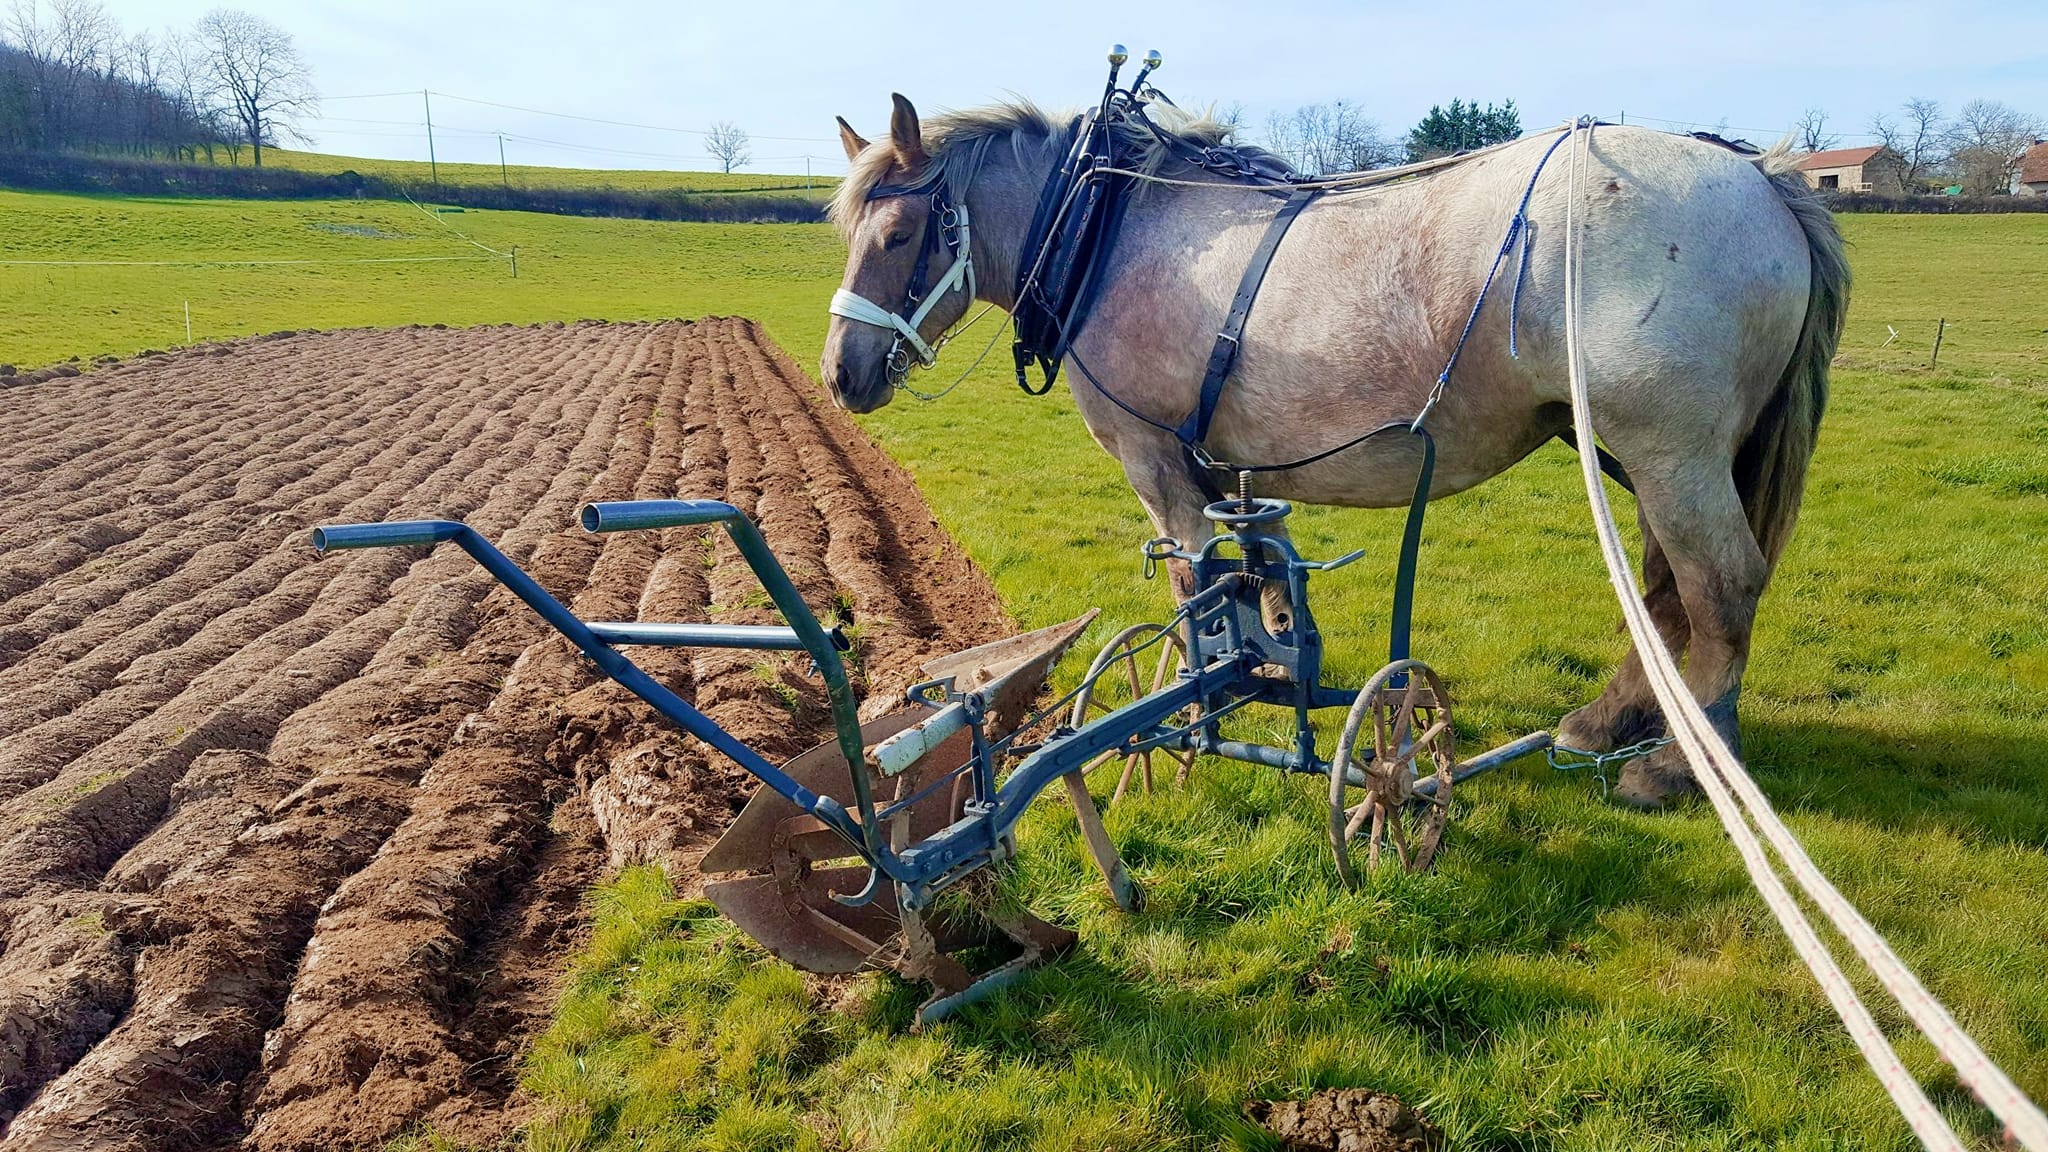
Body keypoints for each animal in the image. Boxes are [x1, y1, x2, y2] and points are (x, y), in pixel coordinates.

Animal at [819, 94, 1848, 808]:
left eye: (900, 233)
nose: (840, 373)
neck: (1107, 230)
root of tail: (1763, 175)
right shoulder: (1233, 476)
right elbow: (1258, 579)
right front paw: (1275, 674)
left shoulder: (1156, 468)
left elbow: (1194, 590)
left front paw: (1198, 710)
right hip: (1633, 454)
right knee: (1666, 587)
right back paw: (1610, 723)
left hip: (1671, 452)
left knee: (1720, 587)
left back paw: (1678, 762)